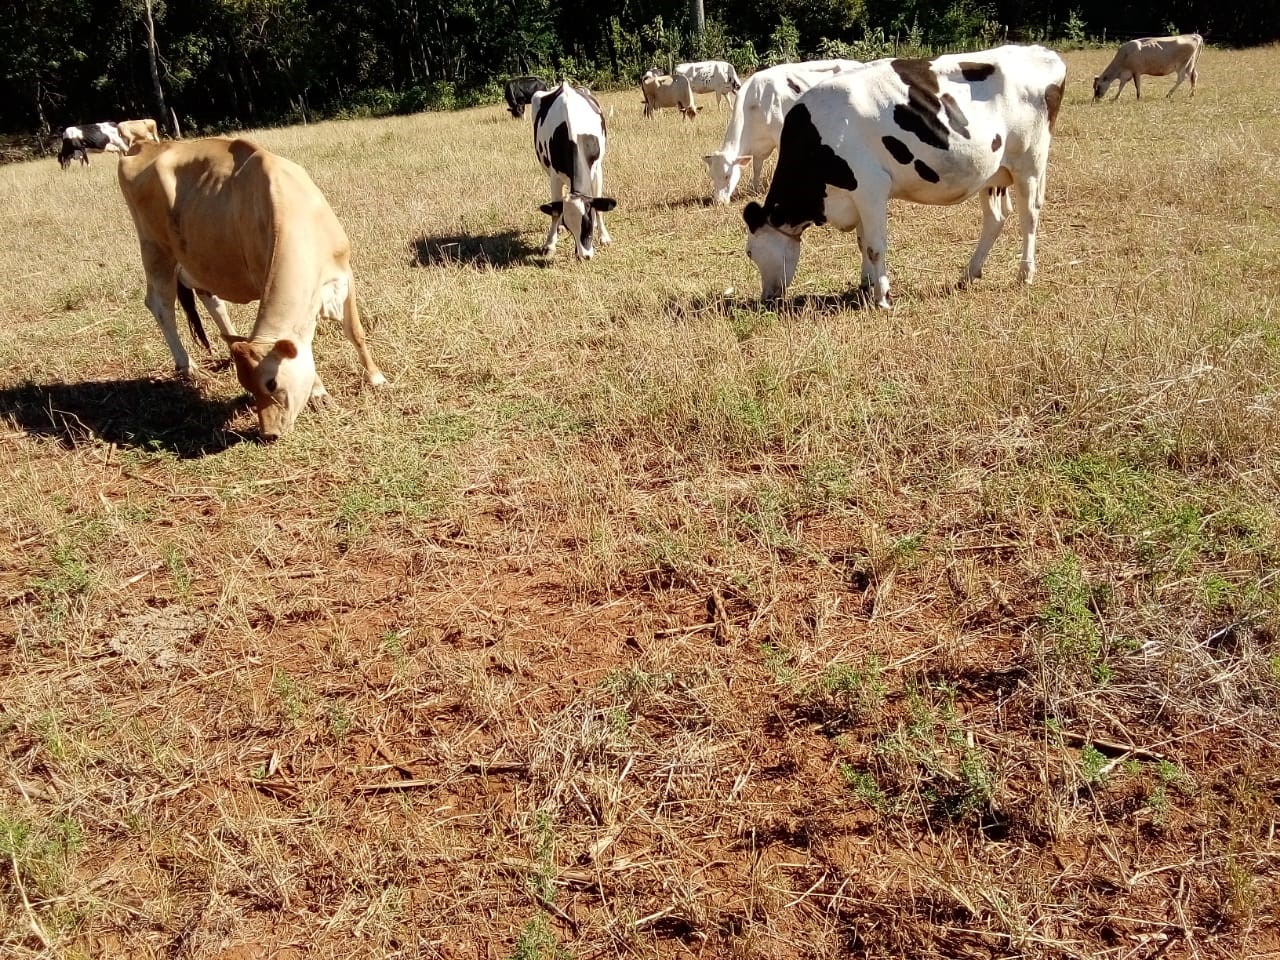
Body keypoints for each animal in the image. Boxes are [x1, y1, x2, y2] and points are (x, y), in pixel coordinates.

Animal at [119, 136, 384, 442]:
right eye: (248, 387)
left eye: (271, 383)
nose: (268, 433)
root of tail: (144, 145)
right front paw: (318, 393)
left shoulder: (344, 273)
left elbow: (355, 332)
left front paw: (377, 378)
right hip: (155, 250)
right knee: (160, 305)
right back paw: (188, 366)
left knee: (211, 301)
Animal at [527, 81, 611, 259]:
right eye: (571, 228)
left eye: (588, 222)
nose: (584, 255)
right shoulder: (554, 176)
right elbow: (556, 211)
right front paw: (550, 245)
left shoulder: (597, 169)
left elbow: (599, 205)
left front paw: (604, 237)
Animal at [706, 58, 865, 204]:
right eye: (712, 176)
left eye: (727, 175)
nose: (718, 202)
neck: (753, 107)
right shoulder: (759, 148)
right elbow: (756, 168)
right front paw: (756, 190)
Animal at [747, 45, 1064, 308]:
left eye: (749, 252)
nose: (766, 299)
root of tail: (1043, 53)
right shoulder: (856, 196)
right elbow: (863, 241)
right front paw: (866, 285)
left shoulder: (870, 187)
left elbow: (875, 246)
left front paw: (882, 298)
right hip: (995, 172)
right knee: (996, 218)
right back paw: (969, 273)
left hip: (1030, 163)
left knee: (1029, 216)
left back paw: (1025, 273)